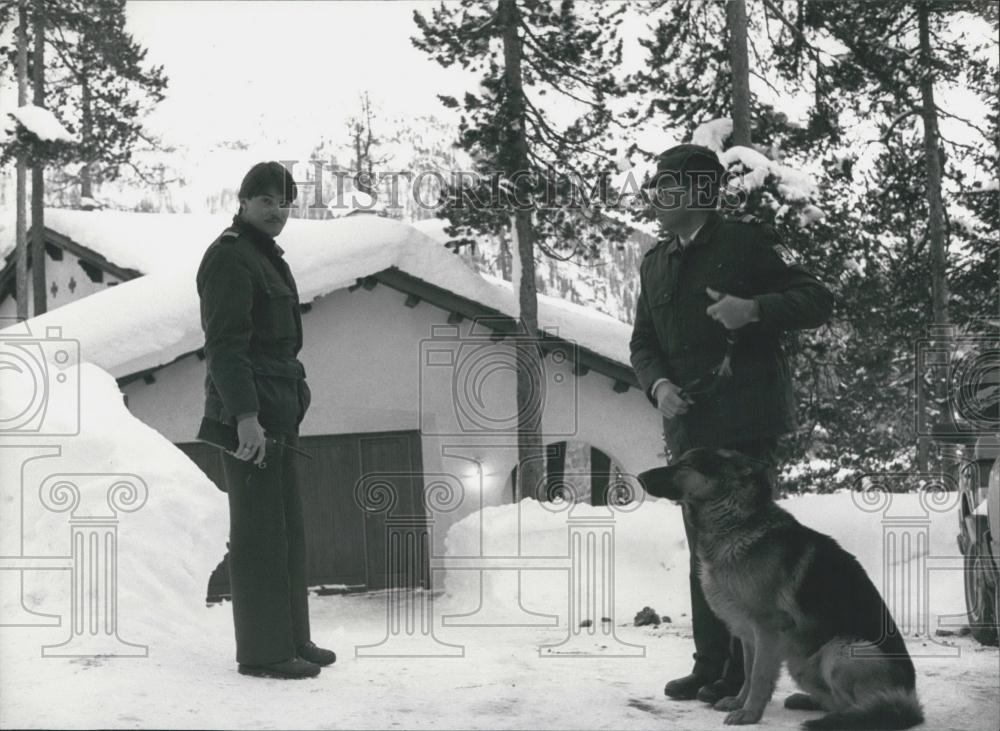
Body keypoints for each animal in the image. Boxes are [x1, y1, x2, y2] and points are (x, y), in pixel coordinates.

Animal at [640, 448, 920, 728]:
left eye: (685, 465)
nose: (640, 477)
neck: (735, 521)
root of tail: (909, 698)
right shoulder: (748, 634)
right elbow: (749, 673)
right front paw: (739, 703)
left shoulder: (766, 629)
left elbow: (759, 676)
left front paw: (750, 714)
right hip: (801, 665)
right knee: (836, 700)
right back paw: (808, 702)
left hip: (840, 651)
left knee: (867, 706)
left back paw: (846, 718)